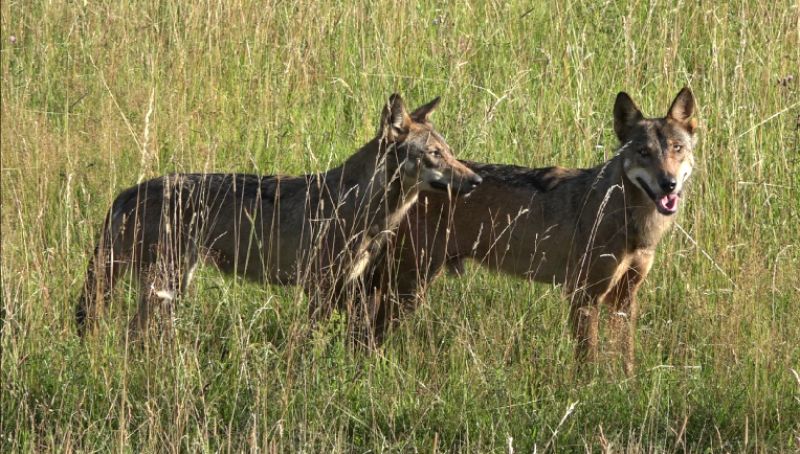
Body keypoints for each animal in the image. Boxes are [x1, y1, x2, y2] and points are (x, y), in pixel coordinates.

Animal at [76, 94, 482, 338]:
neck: (363, 207)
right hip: (166, 283)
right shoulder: (320, 288)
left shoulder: (348, 287)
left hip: (175, 286)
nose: (476, 181)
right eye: (434, 154)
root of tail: (129, 192)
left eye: (450, 152)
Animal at [366, 88, 696, 372]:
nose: (668, 184)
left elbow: (626, 358)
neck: (633, 222)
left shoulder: (625, 299)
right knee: (368, 336)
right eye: (644, 152)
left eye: (677, 149)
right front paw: (589, 392)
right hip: (408, 288)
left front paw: (625, 388)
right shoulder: (583, 296)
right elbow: (587, 361)